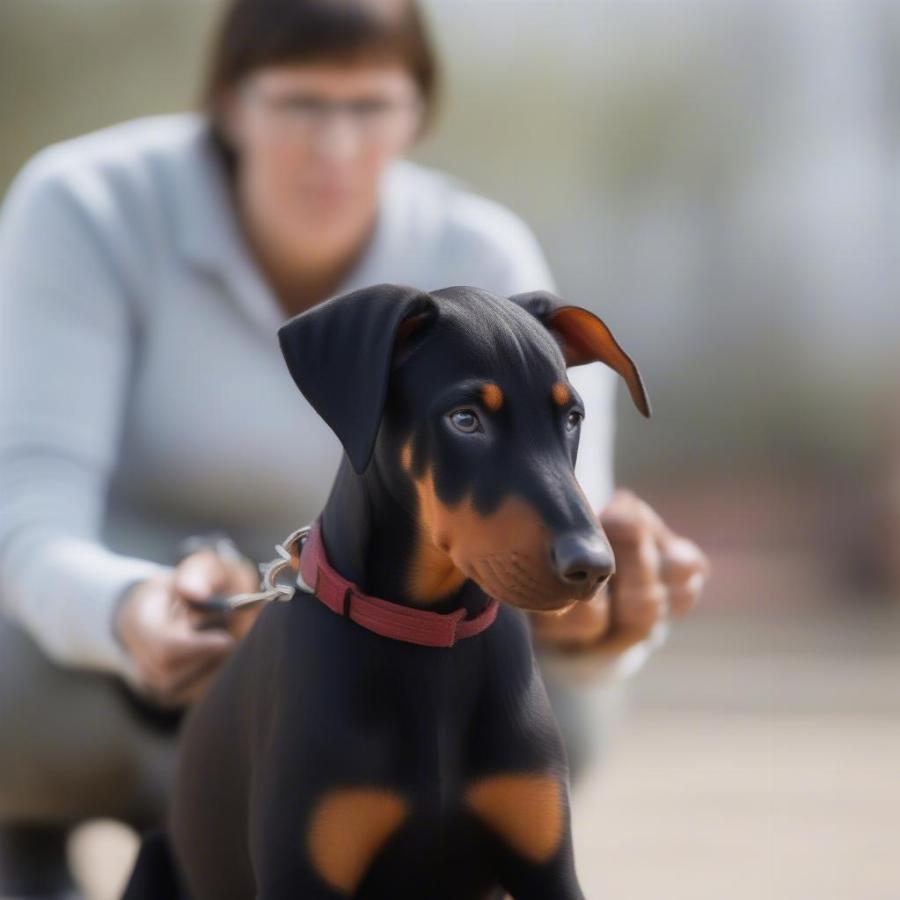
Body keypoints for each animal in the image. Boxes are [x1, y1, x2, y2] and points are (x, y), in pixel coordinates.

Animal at [123, 284, 652, 900]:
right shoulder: (304, 870)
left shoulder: (547, 863)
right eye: (465, 419)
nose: (592, 566)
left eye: (571, 419)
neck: (427, 630)